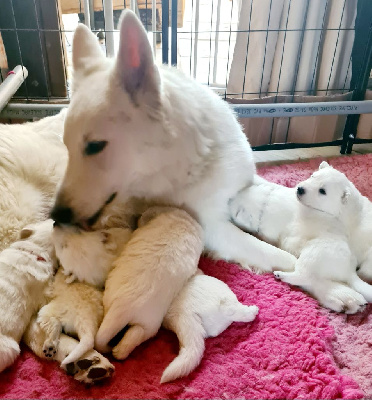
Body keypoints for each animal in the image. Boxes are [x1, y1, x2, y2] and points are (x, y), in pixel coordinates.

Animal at [94, 206, 202, 360]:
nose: (138, 217)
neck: (183, 222)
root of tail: (124, 307)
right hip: (150, 321)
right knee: (138, 333)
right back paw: (119, 350)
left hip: (143, 318)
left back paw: (117, 351)